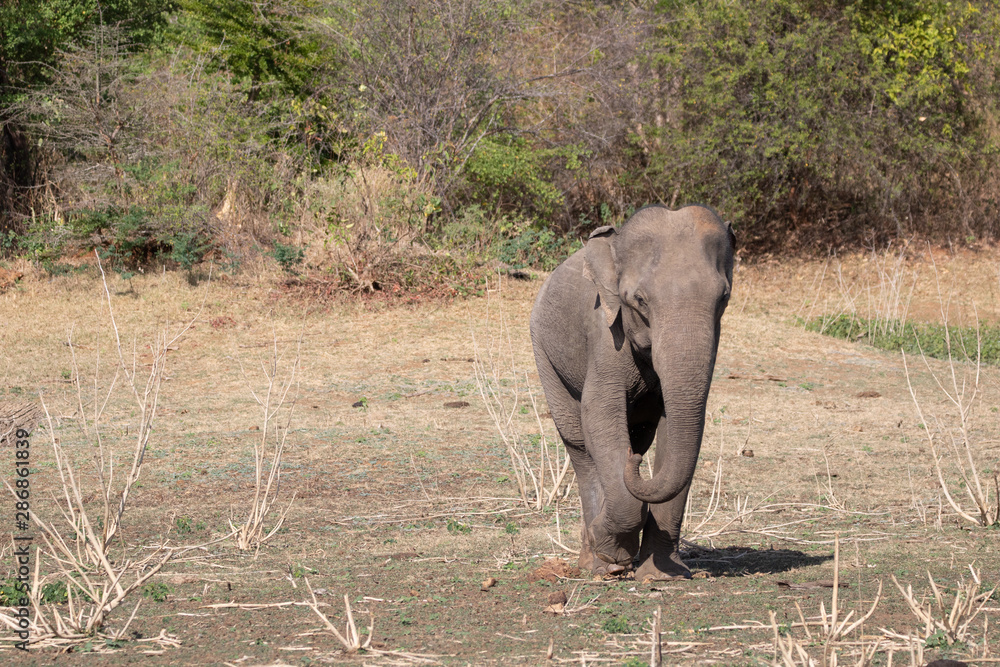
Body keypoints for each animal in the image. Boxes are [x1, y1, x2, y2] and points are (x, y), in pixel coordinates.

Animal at [529, 204, 735, 581]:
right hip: (543, 351)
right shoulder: (604, 333)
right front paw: (613, 554)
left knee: (638, 436)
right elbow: (600, 415)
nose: (634, 465)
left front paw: (662, 576)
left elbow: (681, 428)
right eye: (639, 300)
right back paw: (597, 565)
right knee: (579, 445)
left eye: (723, 298)